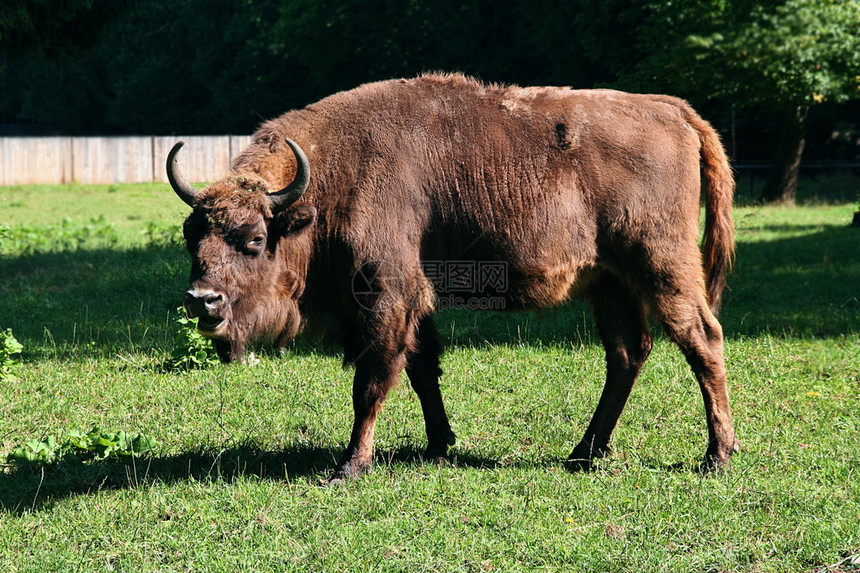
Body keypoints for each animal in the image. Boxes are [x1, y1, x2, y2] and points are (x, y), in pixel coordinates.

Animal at [168, 72, 740, 482]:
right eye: (191, 235)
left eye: (253, 240)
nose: (203, 300)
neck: (324, 188)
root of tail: (672, 110)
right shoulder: (415, 305)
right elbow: (423, 370)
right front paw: (440, 444)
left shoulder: (386, 297)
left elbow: (371, 381)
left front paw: (350, 466)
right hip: (610, 283)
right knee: (627, 354)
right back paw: (584, 453)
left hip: (662, 266)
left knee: (701, 340)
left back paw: (716, 456)